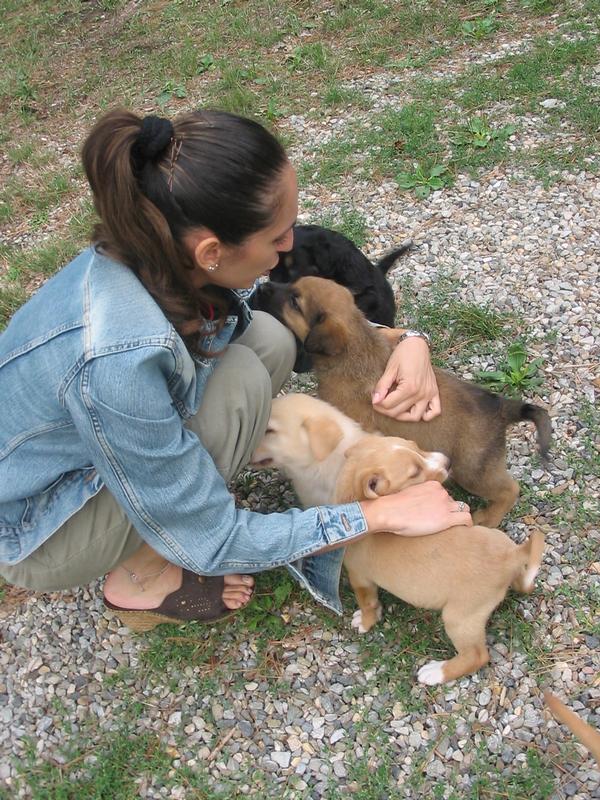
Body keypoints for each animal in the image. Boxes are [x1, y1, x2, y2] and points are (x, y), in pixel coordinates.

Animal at [252, 393, 545, 684]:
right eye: (414, 471)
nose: (448, 462)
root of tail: (511, 555)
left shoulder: (360, 576)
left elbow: (368, 602)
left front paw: (366, 621)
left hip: (459, 616)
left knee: (476, 655)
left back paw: (436, 672)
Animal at [256, 276, 552, 528]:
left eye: (295, 301)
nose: (262, 287)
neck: (354, 351)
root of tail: (500, 407)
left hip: (473, 470)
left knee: (509, 489)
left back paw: (489, 518)